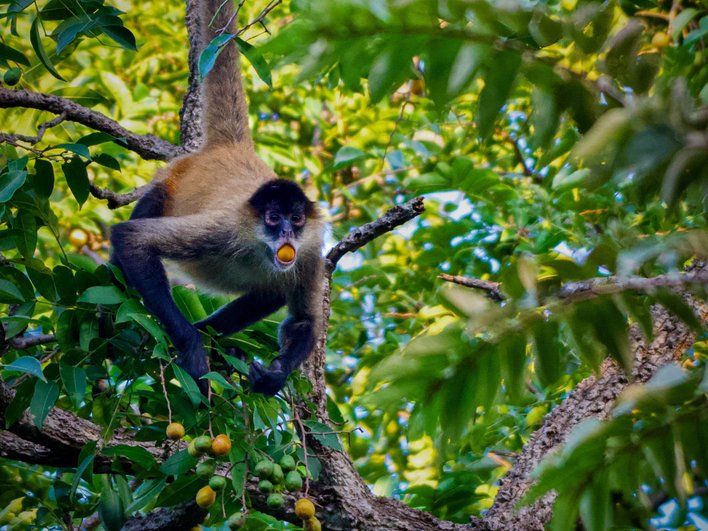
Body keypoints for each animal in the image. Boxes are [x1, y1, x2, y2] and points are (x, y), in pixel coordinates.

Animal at [109, 0, 324, 396]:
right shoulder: (224, 228)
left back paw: (216, 339)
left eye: (297, 219)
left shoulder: (311, 251)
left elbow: (303, 321)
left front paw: (274, 375)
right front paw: (192, 346)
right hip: (169, 184)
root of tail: (232, 148)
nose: (288, 233)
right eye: (274, 218)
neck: (260, 248)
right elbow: (131, 240)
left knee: (272, 291)